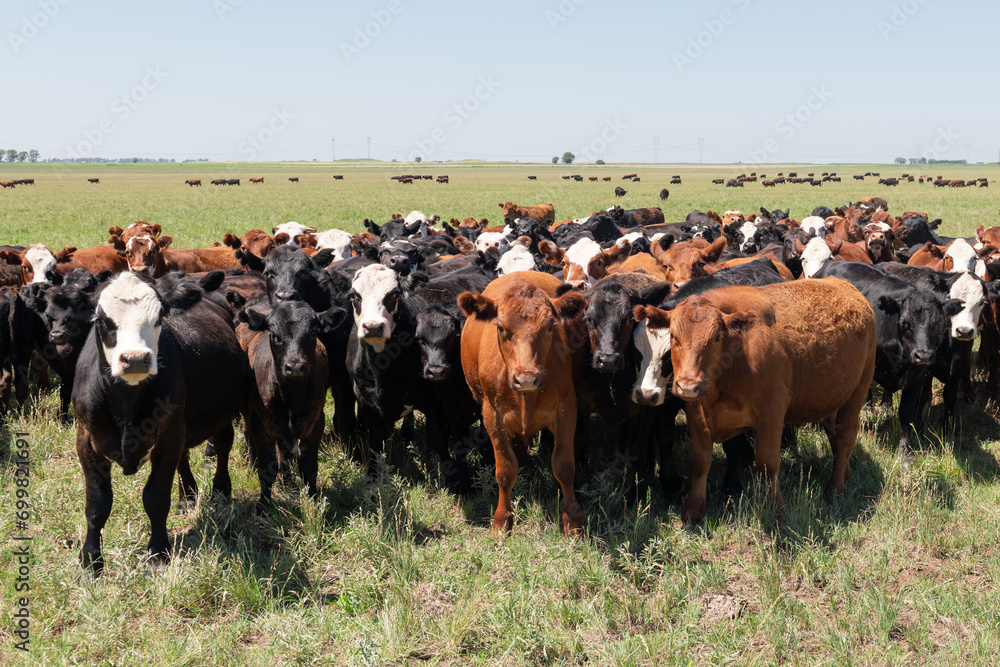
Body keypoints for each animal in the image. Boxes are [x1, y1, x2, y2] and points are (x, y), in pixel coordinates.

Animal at [73, 272, 246, 574]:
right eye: (102, 319)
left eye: (159, 317)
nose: (135, 359)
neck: (126, 402)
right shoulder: (86, 439)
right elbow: (97, 503)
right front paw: (91, 560)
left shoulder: (169, 435)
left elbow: (155, 498)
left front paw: (157, 554)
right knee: (184, 458)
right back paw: (187, 496)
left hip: (221, 411)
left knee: (223, 445)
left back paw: (221, 490)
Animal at [458, 272, 588, 534]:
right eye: (500, 327)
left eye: (550, 326)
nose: (526, 378)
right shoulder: (492, 416)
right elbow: (505, 470)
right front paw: (501, 521)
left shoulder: (566, 408)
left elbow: (564, 466)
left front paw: (573, 521)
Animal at [633, 278, 877, 523]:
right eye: (673, 336)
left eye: (716, 338)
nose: (688, 385)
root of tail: (841, 283)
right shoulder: (695, 412)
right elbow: (700, 463)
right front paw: (693, 513)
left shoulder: (772, 412)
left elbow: (768, 464)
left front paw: (776, 511)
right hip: (831, 395)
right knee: (835, 436)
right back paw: (846, 474)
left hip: (859, 388)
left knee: (844, 437)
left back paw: (834, 489)